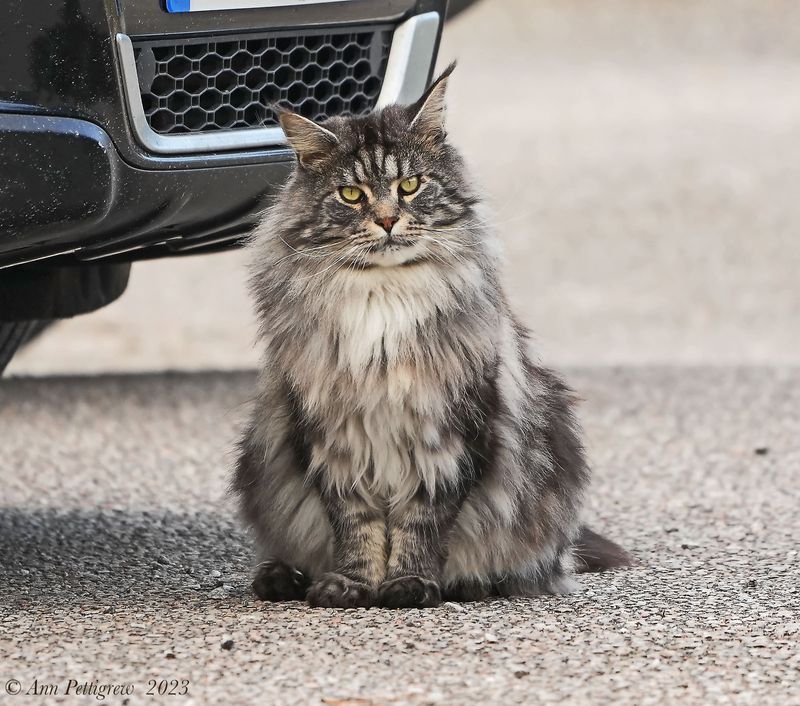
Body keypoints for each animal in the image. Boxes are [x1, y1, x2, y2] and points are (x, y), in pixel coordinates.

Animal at [234, 63, 628, 608]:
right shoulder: (331, 438)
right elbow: (355, 525)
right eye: (351, 195)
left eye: (410, 184)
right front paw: (351, 585)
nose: (386, 220)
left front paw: (408, 584)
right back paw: (281, 577)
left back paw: (468, 583)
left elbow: (423, 522)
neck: (384, 298)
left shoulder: (452, 434)